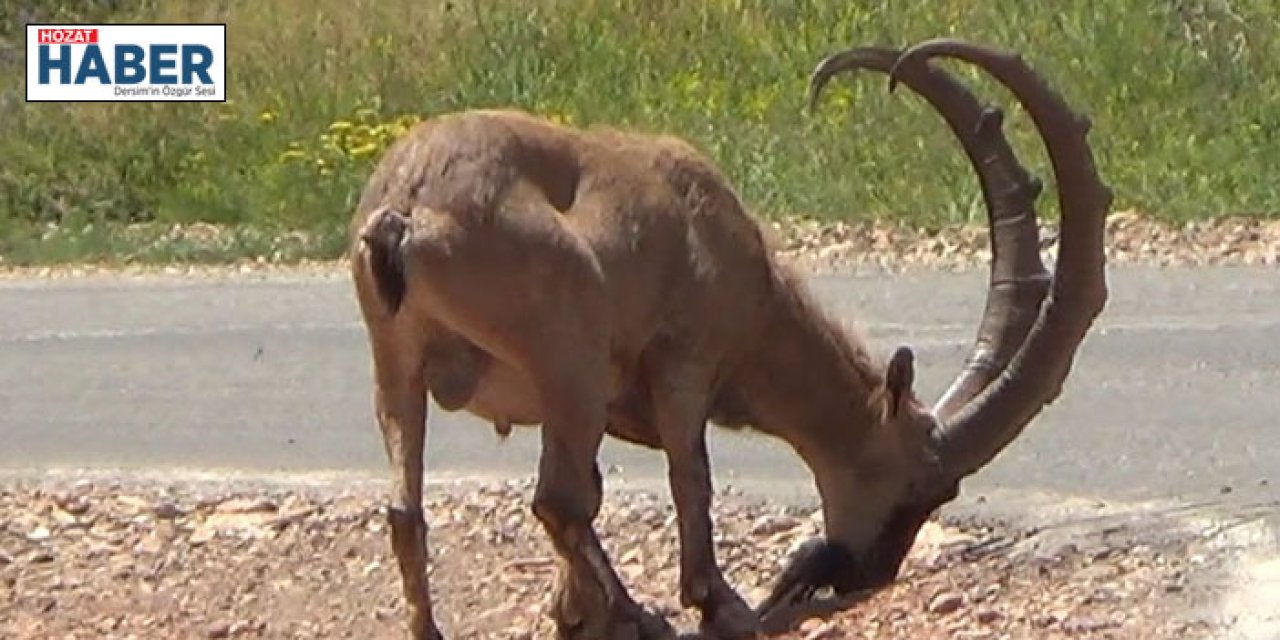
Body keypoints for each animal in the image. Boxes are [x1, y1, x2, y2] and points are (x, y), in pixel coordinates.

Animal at [348, 41, 1111, 640]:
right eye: (927, 486)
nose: (864, 574)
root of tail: (403, 217)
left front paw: (573, 613)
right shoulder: (684, 360)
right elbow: (691, 475)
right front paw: (715, 603)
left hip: (398, 363)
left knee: (408, 509)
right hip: (568, 356)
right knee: (556, 500)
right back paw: (643, 616)